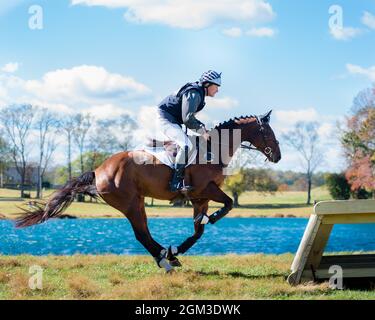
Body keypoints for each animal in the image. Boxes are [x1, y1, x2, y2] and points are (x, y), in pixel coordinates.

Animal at [16, 110, 280, 272]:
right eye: (268, 133)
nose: (278, 156)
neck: (212, 148)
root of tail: (98, 170)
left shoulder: (200, 198)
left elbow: (198, 232)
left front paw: (177, 250)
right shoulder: (206, 189)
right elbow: (228, 204)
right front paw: (212, 218)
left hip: (138, 201)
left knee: (144, 232)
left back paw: (165, 255)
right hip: (130, 203)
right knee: (141, 233)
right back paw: (164, 261)